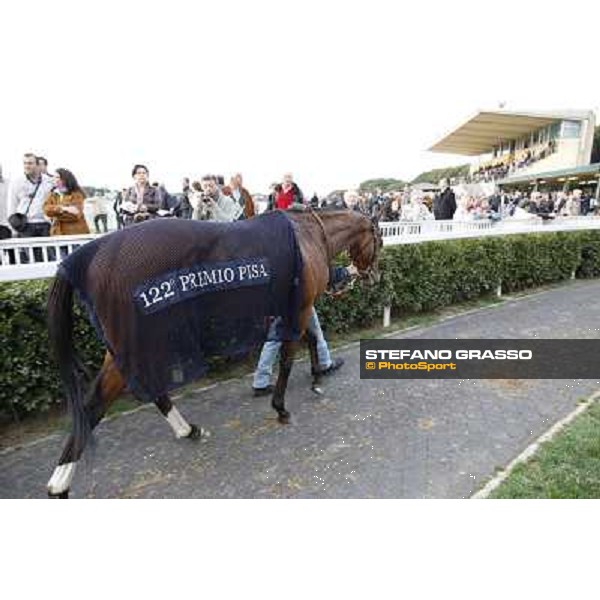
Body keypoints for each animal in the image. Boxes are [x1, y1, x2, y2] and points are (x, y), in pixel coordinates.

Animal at [48, 209, 384, 500]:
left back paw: (187, 429)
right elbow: (289, 357)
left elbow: (310, 339)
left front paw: (316, 377)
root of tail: (91, 255)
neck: (308, 234)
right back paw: (59, 483)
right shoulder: (298, 309)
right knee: (94, 404)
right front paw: (282, 407)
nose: (373, 277)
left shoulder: (290, 310)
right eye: (379, 240)